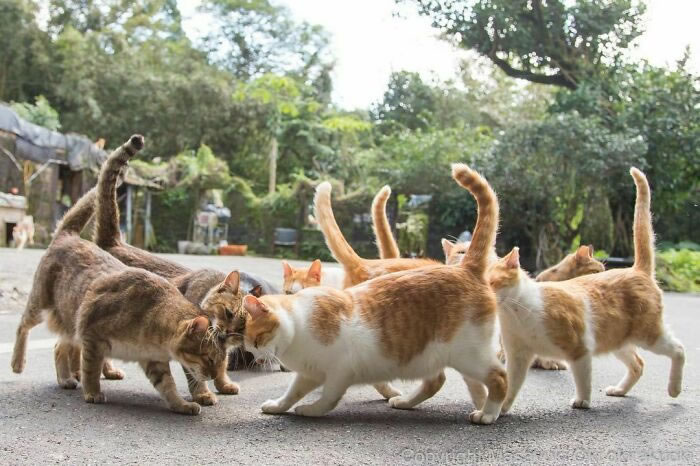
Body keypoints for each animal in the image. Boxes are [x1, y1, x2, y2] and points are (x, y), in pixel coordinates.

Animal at [10, 136, 226, 416]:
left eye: (222, 360)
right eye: (209, 357)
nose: (214, 376)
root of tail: (68, 234)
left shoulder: (154, 360)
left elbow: (167, 386)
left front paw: (182, 405)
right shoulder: (92, 336)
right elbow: (91, 370)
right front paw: (93, 393)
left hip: (68, 319)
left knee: (59, 346)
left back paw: (65, 378)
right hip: (42, 303)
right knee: (23, 325)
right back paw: (18, 362)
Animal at [243, 163, 506, 422]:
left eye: (256, 340)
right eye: (247, 345)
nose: (254, 356)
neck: (298, 325)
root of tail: (466, 268)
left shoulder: (340, 371)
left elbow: (329, 397)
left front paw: (311, 410)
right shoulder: (310, 373)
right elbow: (293, 392)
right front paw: (278, 406)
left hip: (469, 355)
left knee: (499, 377)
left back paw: (489, 413)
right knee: (437, 382)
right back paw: (406, 402)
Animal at [486, 167, 684, 412]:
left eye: (492, 282)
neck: (517, 313)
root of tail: (637, 269)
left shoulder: (580, 349)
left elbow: (583, 378)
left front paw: (582, 400)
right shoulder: (518, 356)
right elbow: (511, 385)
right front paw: (498, 409)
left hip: (649, 334)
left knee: (678, 349)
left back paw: (674, 388)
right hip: (617, 340)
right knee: (638, 364)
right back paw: (620, 390)